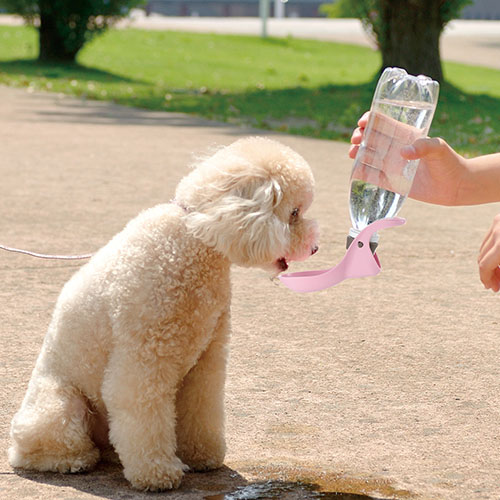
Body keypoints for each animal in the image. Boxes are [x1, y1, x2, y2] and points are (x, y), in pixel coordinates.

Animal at [7, 135, 318, 490]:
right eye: (294, 212)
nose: (315, 247)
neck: (196, 238)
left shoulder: (206, 361)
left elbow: (201, 408)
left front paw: (201, 456)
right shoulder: (144, 361)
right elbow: (144, 414)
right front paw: (157, 474)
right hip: (59, 405)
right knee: (36, 448)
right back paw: (74, 460)